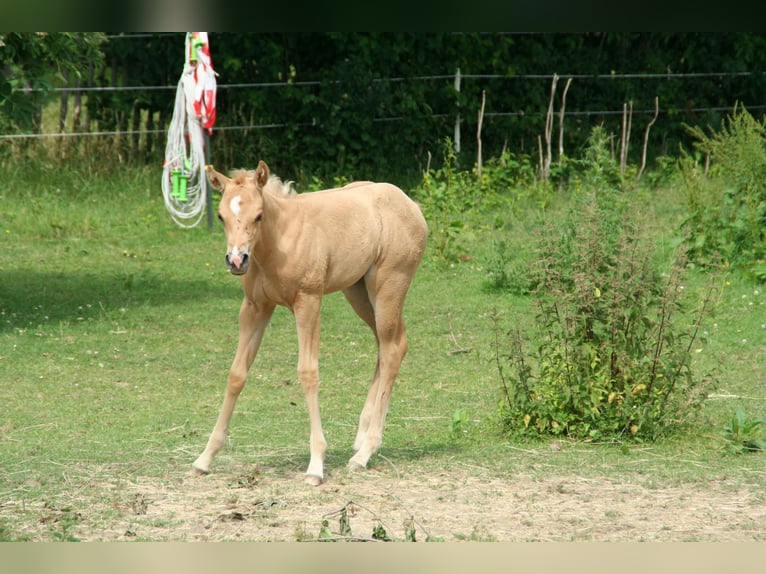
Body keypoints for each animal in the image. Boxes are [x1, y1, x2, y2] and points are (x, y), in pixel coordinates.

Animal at [192, 161, 428, 485]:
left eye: (259, 215)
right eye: (221, 216)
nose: (237, 260)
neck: (278, 242)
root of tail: (411, 205)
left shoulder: (308, 302)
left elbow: (308, 372)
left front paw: (316, 465)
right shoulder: (255, 307)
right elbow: (236, 374)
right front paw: (205, 458)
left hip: (388, 287)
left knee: (392, 349)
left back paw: (365, 452)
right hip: (358, 292)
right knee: (389, 344)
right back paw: (362, 437)